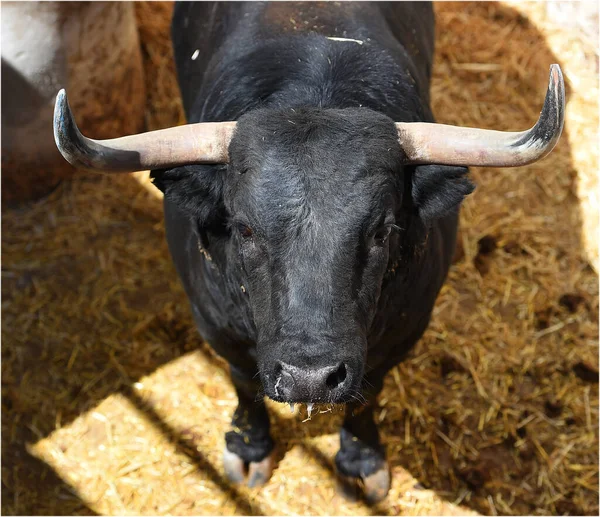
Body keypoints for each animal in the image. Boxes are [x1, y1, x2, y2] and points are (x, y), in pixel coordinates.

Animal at [52, 0, 564, 500]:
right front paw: (249, 448)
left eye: (382, 230)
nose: (310, 377)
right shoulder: (217, 325)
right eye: (244, 229)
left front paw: (361, 462)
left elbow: (367, 394)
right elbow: (244, 383)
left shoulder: (404, 330)